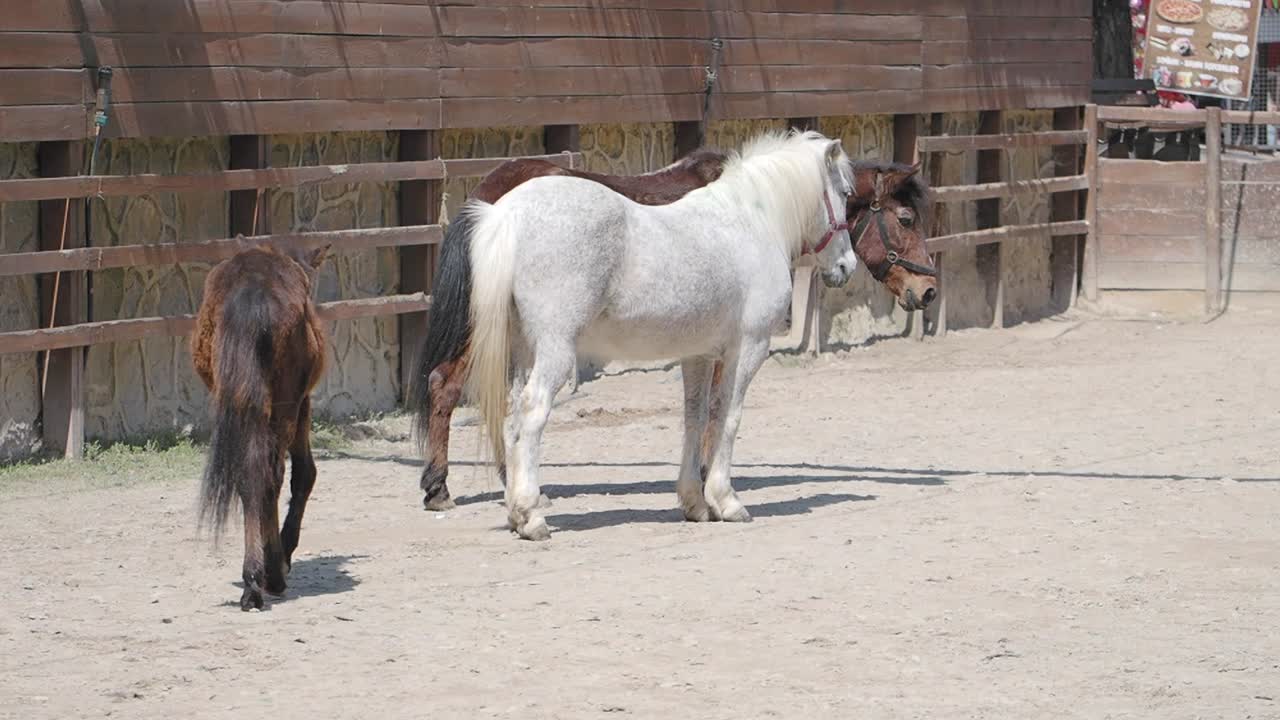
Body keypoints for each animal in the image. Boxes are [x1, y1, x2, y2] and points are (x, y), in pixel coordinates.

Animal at [191, 242, 329, 610]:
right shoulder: (302, 403)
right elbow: (304, 474)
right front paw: (283, 555)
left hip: (244, 406)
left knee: (251, 475)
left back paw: (253, 580)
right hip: (283, 408)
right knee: (271, 475)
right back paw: (271, 573)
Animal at [409, 153, 938, 513]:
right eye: (906, 219)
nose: (929, 290)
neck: (752, 213)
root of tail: (491, 203)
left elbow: (699, 414)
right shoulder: (732, 346)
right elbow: (719, 416)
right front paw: (711, 486)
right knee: (450, 385)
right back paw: (449, 487)